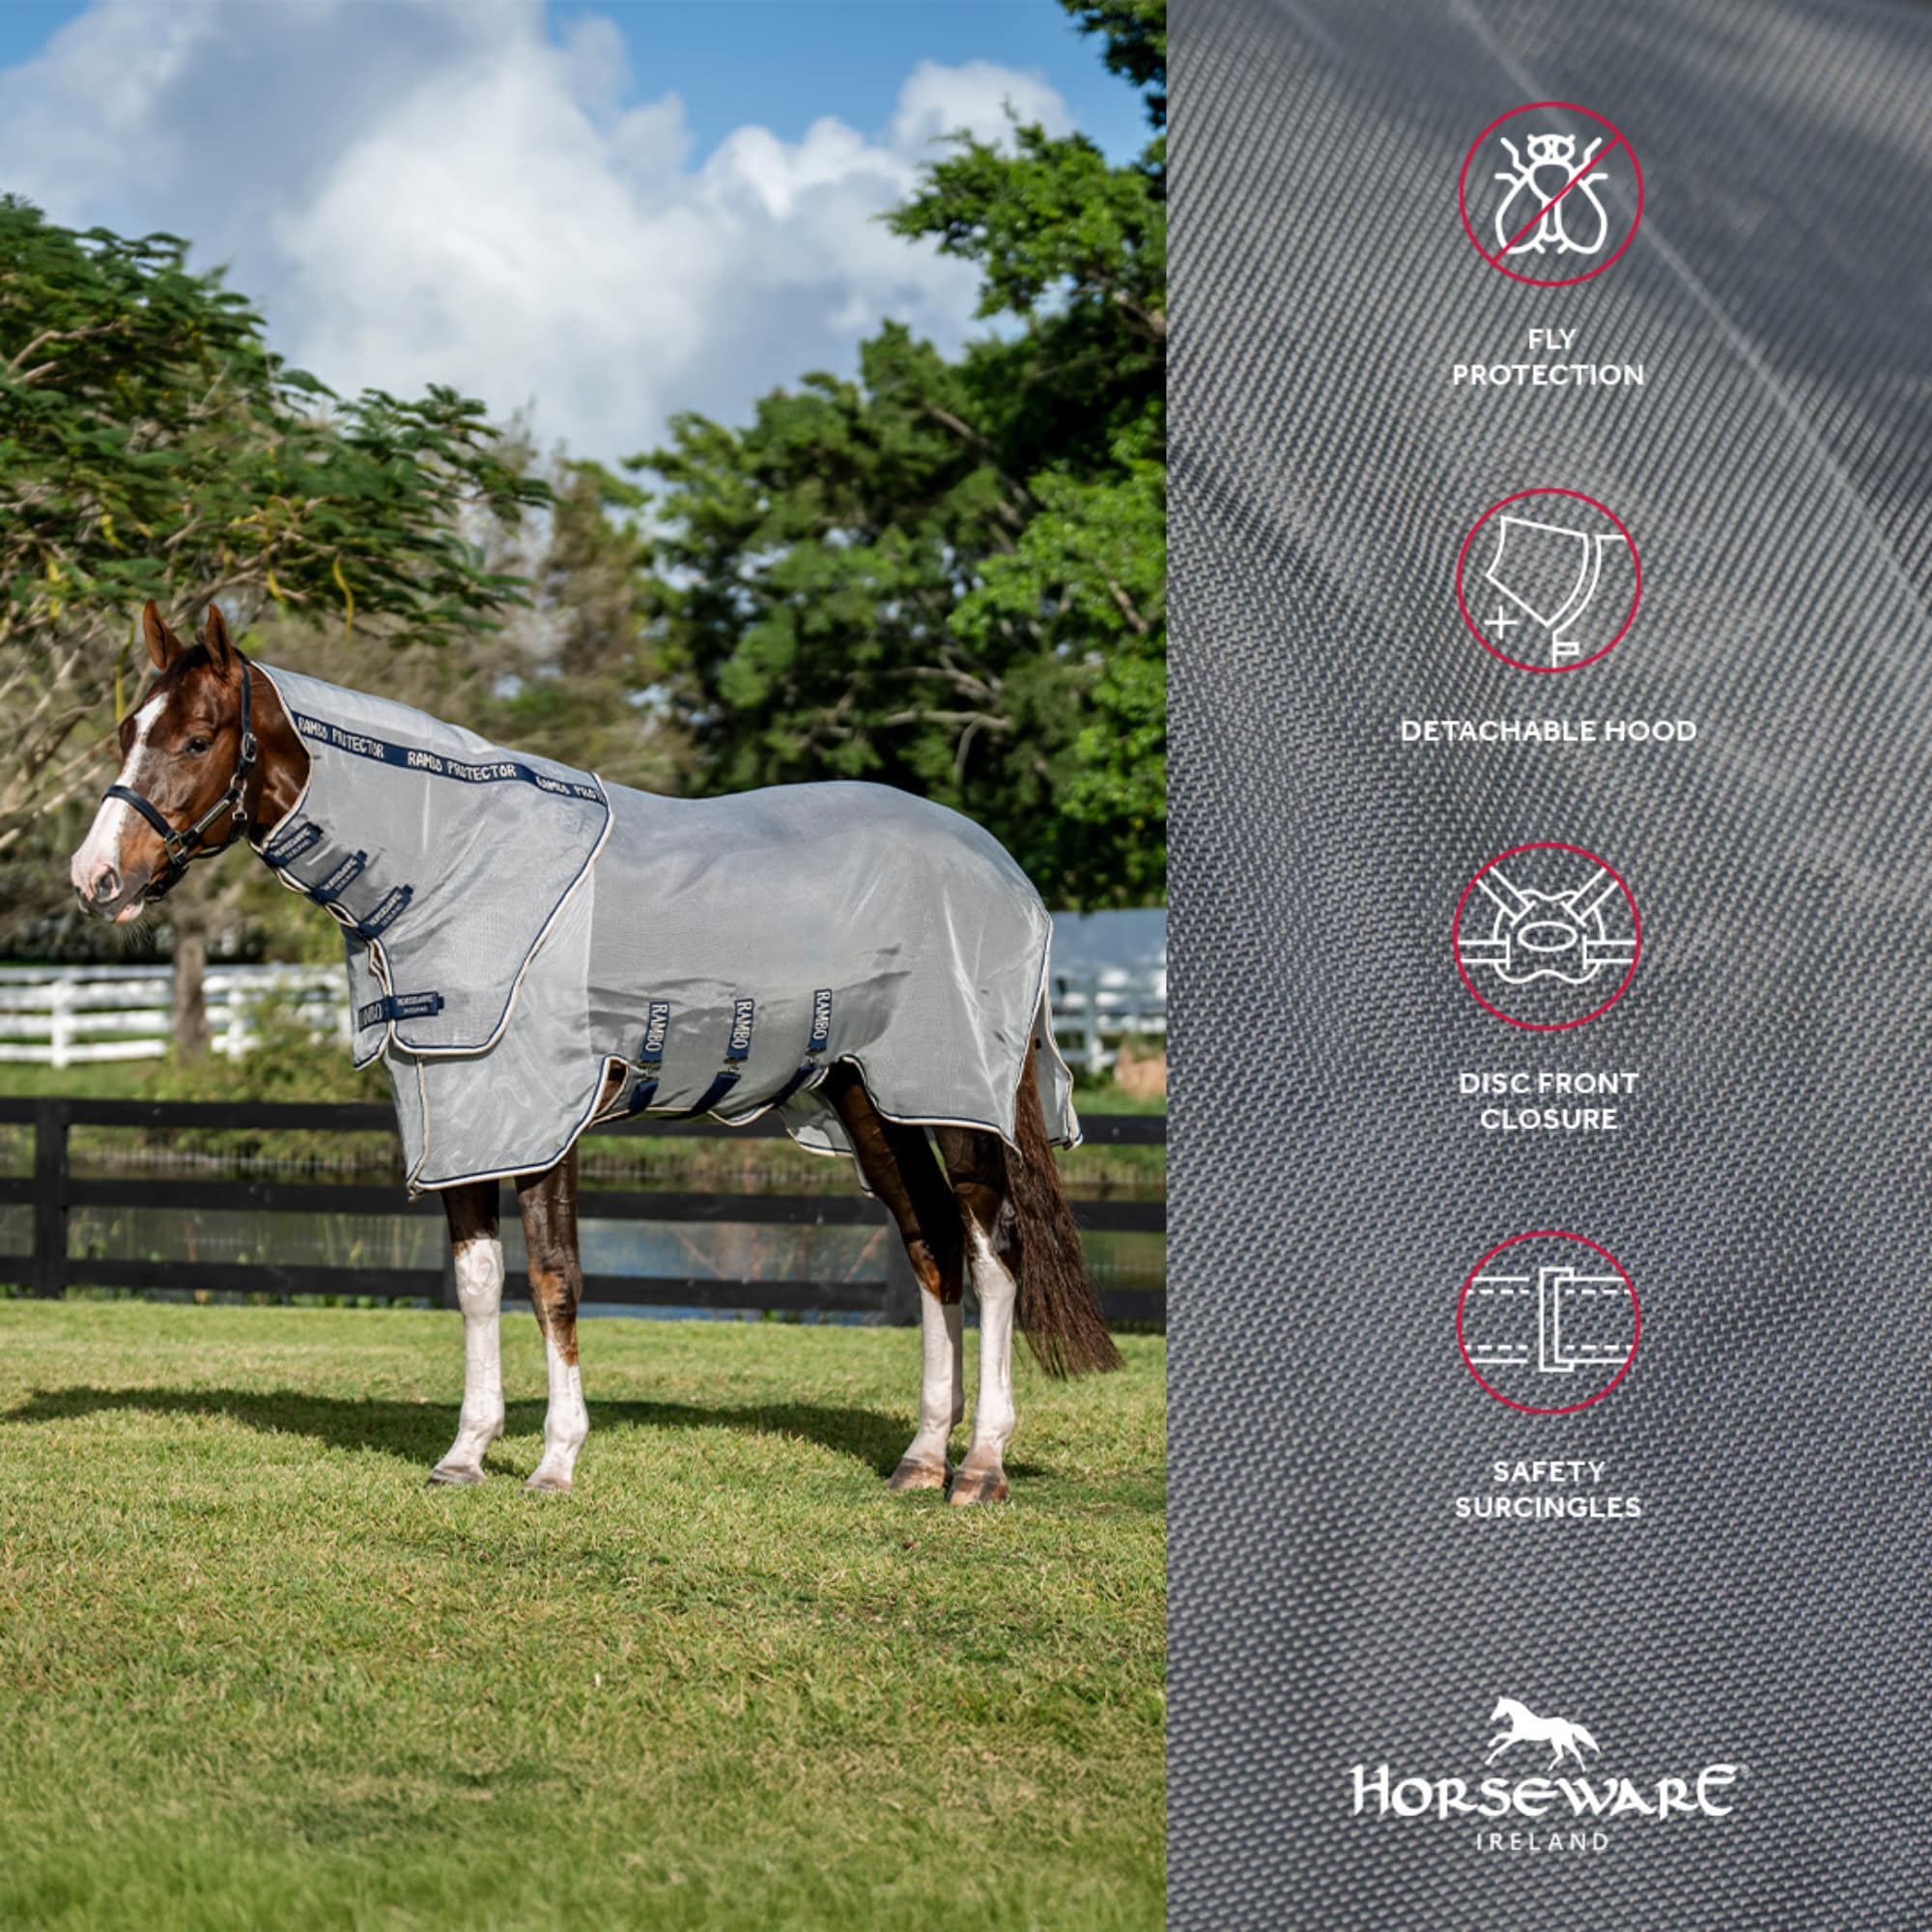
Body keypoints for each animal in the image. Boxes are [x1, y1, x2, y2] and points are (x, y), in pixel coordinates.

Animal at [68, 601, 1120, 1502]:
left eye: (196, 738)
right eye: (127, 730)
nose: (96, 878)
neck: (449, 865)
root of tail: (1003, 870)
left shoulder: (546, 1119)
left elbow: (553, 1277)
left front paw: (555, 1460)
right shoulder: (462, 1115)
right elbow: (478, 1281)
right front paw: (465, 1453)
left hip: (958, 1098)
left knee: (993, 1251)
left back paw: (979, 1467)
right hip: (873, 1100)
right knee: (931, 1244)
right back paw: (918, 1459)